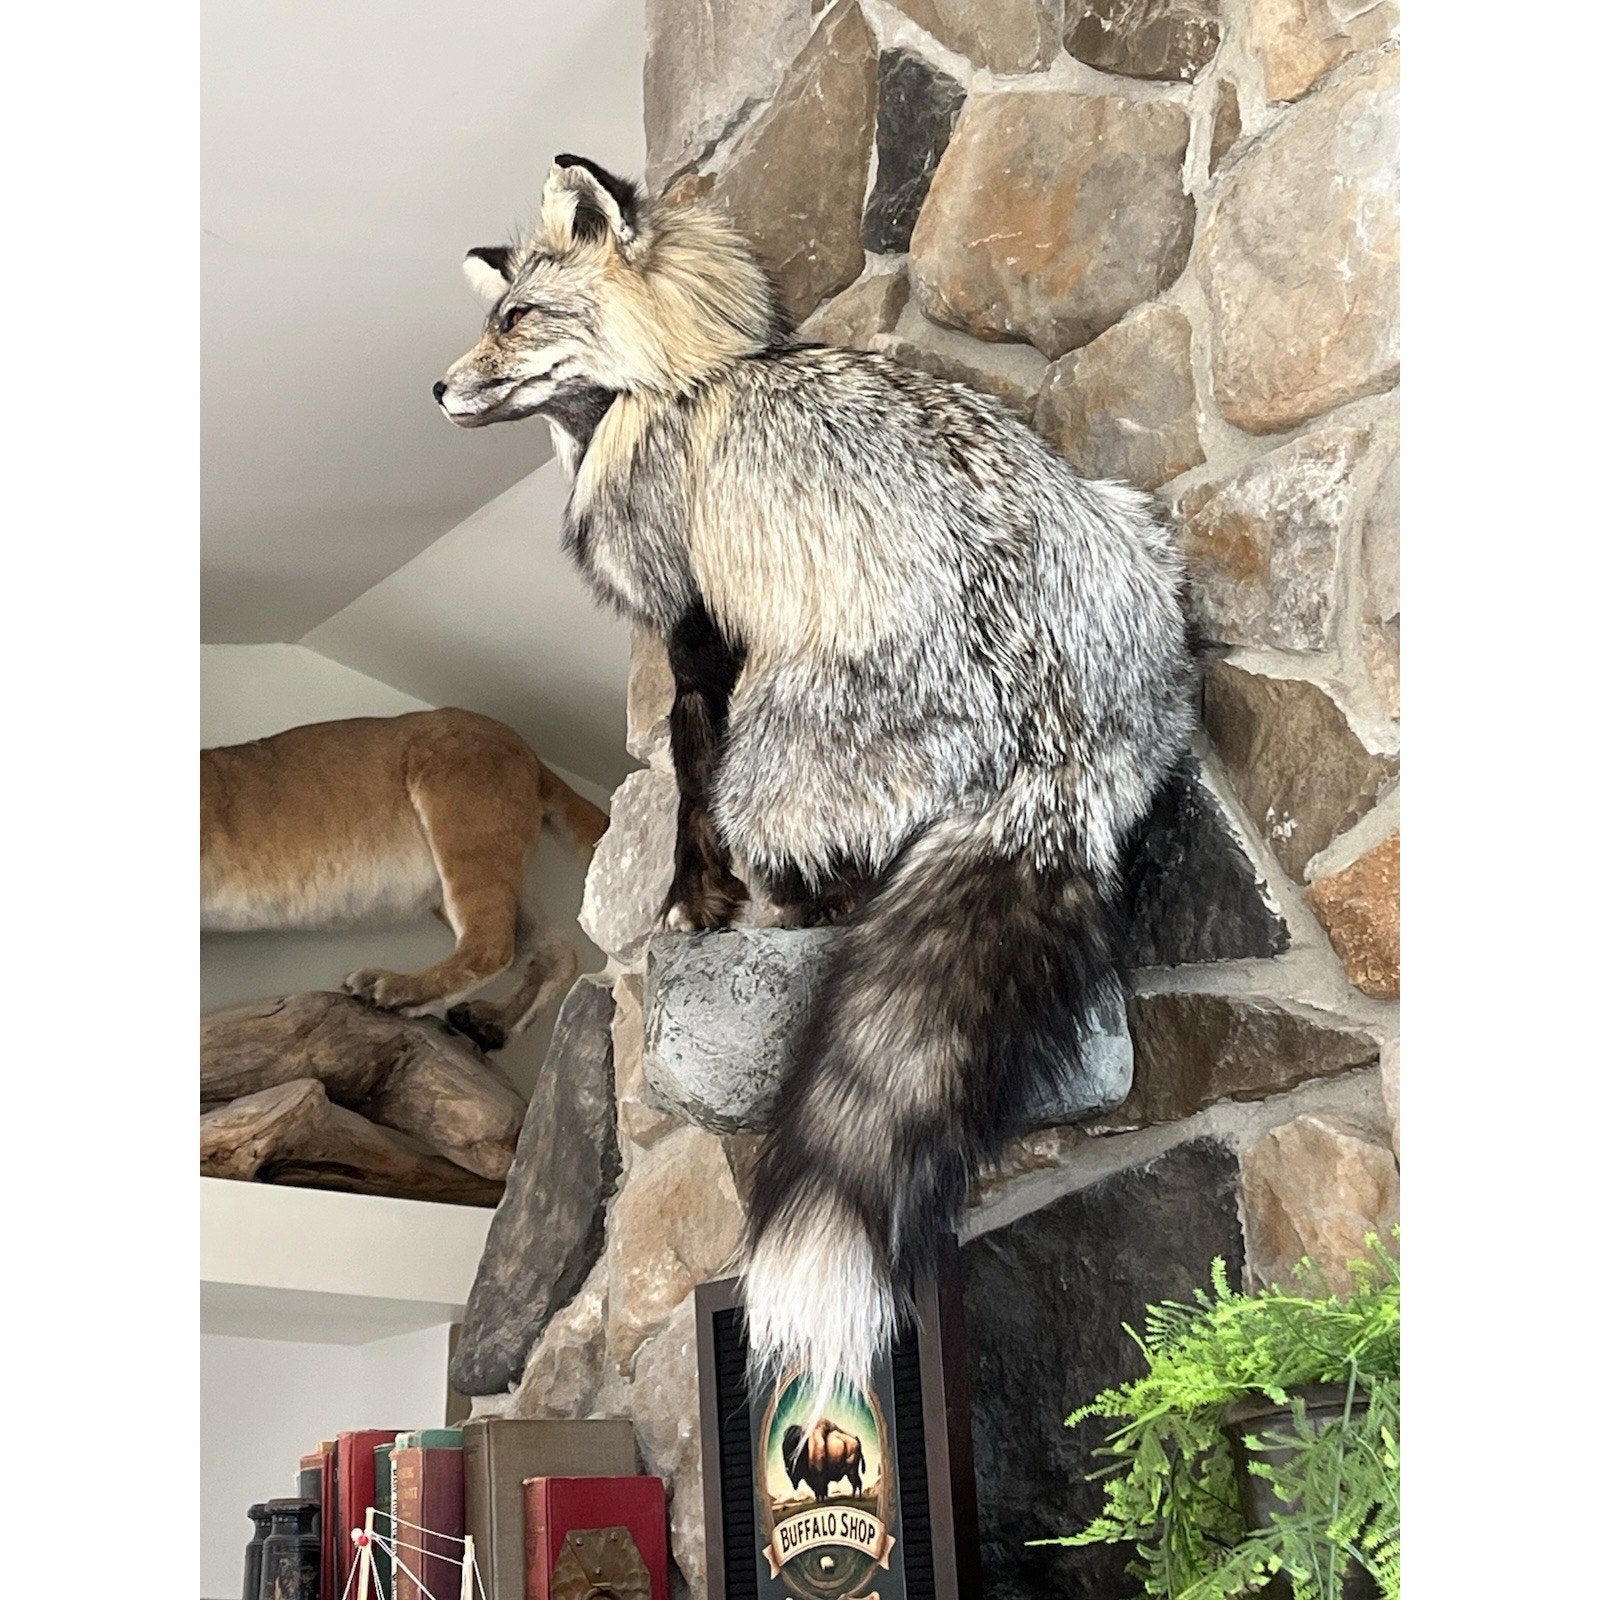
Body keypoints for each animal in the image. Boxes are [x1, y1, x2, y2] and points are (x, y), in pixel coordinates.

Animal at [201, 707, 606, 1050]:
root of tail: (531, 752)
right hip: (481, 880)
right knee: (556, 951)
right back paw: (491, 1023)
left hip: (461, 822)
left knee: (491, 944)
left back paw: (394, 988)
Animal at [435, 155, 1194, 1393]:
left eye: (516, 320)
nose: (438, 388)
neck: (685, 383)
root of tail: (1054, 747)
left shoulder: (699, 630)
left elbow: (687, 777)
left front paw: (694, 906)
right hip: (1134, 528)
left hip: (780, 743)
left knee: (828, 873)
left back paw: (795, 909)